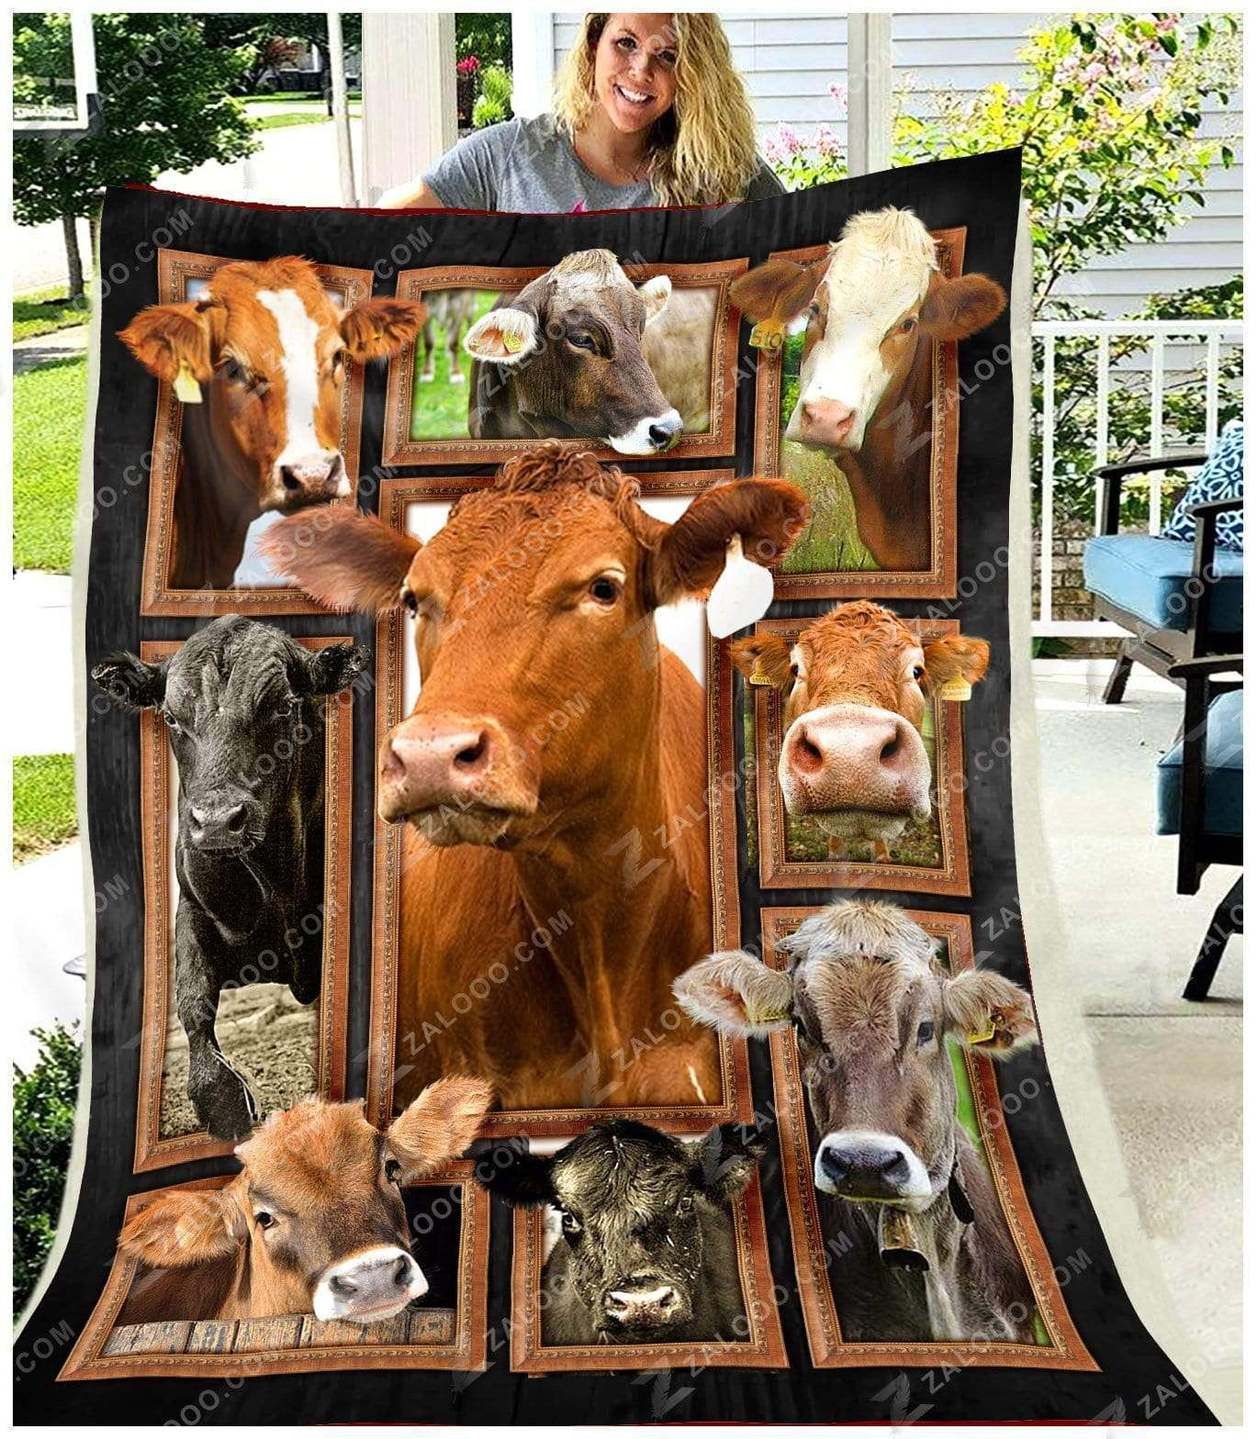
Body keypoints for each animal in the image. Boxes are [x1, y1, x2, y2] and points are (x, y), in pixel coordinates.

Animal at [92, 617, 369, 1140]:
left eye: (283, 706)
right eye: (171, 718)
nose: (218, 821)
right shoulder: (191, 909)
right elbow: (192, 1000)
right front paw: (221, 1101)